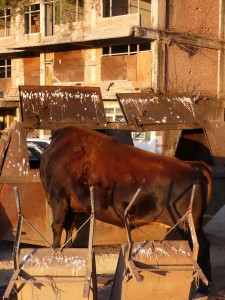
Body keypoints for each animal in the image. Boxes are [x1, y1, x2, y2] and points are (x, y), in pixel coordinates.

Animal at [40, 125, 213, 284]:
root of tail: (193, 166)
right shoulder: (71, 207)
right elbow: (68, 230)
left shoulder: (58, 198)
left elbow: (57, 228)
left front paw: (55, 253)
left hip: (190, 224)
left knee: (202, 246)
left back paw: (203, 286)